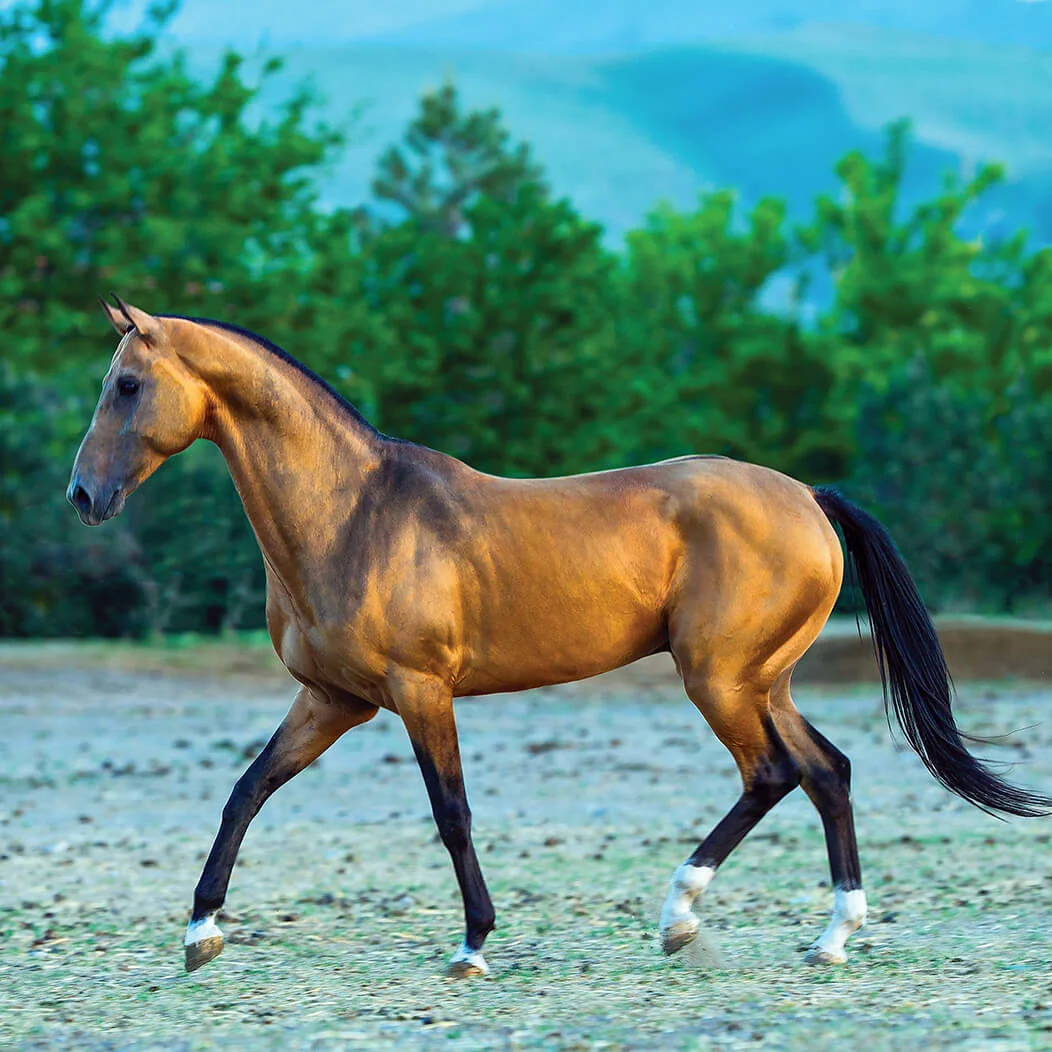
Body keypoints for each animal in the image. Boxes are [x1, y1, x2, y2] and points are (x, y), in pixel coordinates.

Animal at [69, 296, 1047, 976]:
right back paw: (830, 937)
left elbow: (452, 813)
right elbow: (245, 793)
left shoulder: (419, 692)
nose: (82, 496)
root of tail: (808, 497)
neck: (352, 516)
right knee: (826, 772)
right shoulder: (333, 700)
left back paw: (681, 917)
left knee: (772, 774)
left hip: (718, 679)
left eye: (127, 385)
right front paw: (200, 932)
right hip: (762, 680)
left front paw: (472, 946)